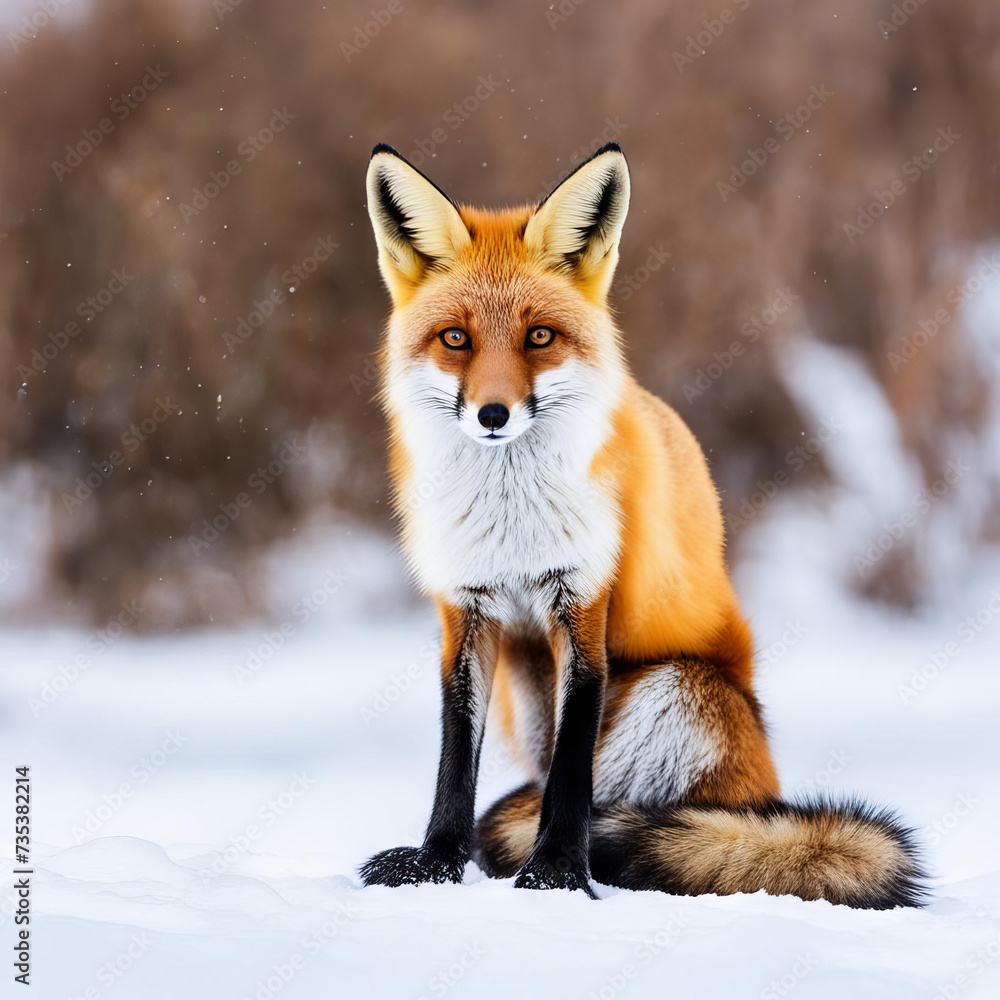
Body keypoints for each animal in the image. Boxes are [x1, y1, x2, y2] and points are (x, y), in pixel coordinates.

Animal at [359, 141, 925, 908]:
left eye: (539, 337)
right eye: (456, 339)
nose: (493, 415)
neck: (513, 521)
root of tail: (765, 787)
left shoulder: (583, 602)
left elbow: (570, 772)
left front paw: (557, 874)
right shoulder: (464, 609)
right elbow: (454, 762)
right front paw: (437, 865)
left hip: (674, 688)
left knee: (618, 805)